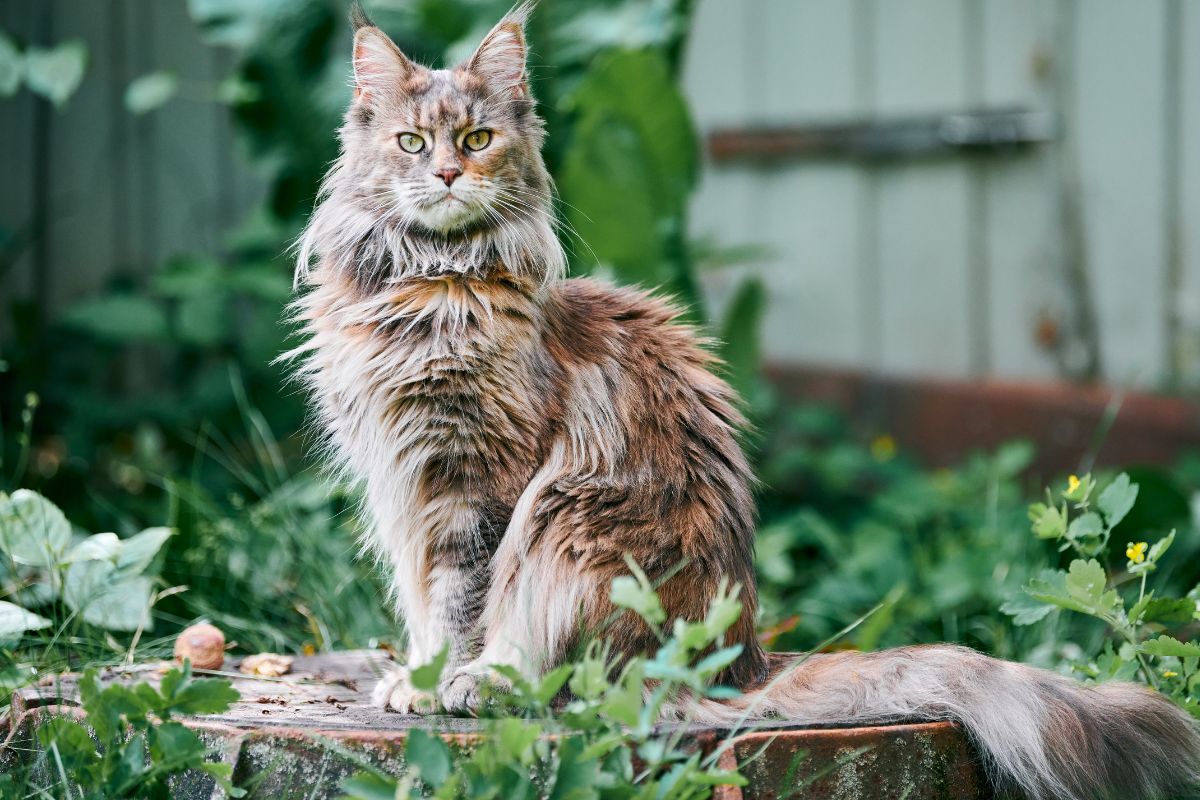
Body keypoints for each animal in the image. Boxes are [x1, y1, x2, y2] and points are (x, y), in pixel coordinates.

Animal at [288, 6, 1200, 800]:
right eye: (412, 142)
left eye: (478, 140)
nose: (446, 173)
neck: (428, 286)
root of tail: (740, 661)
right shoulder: (403, 484)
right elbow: (424, 604)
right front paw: (412, 674)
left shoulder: (478, 485)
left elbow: (463, 603)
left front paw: (440, 683)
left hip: (567, 523)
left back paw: (494, 685)